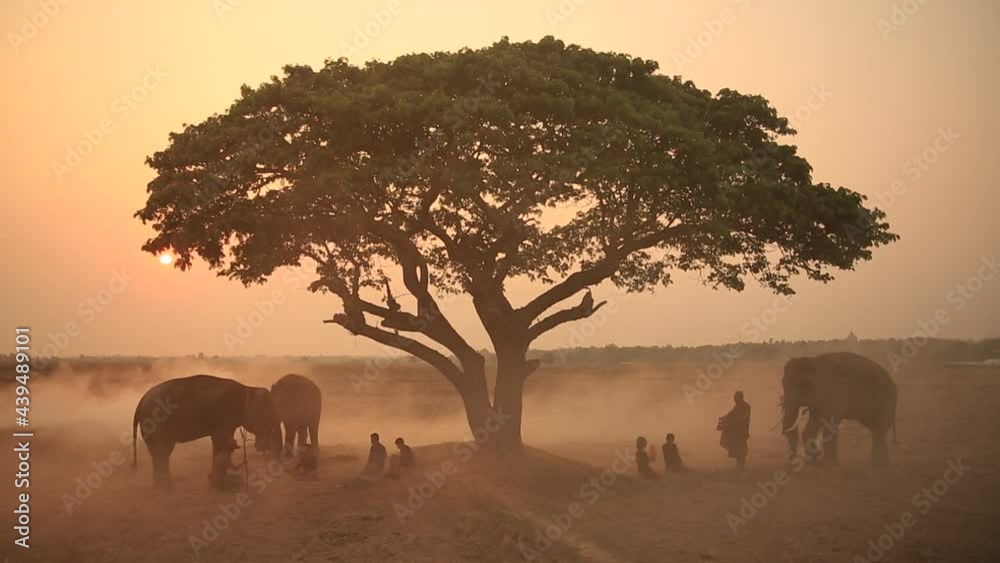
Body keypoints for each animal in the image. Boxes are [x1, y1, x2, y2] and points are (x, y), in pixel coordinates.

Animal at [131, 374, 281, 488]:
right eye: (268, 412)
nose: (261, 446)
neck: (247, 388)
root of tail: (140, 403)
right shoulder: (225, 414)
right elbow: (220, 440)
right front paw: (220, 481)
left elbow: (218, 441)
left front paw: (214, 480)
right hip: (155, 424)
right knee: (162, 451)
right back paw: (166, 487)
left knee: (160, 453)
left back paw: (164, 485)